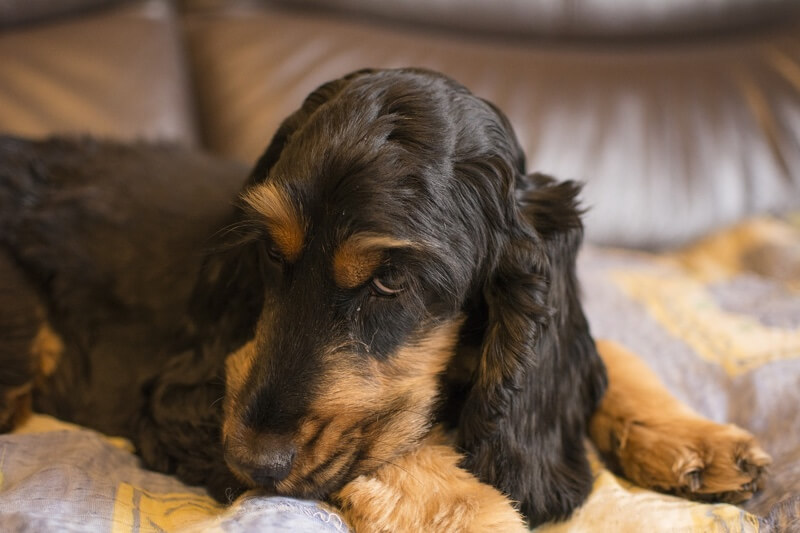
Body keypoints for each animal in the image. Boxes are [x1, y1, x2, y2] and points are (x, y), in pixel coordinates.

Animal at [1, 68, 776, 528]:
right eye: (270, 254)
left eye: (391, 281)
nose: (250, 464)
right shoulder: (178, 402)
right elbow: (391, 436)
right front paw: (472, 506)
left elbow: (600, 354)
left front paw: (695, 438)